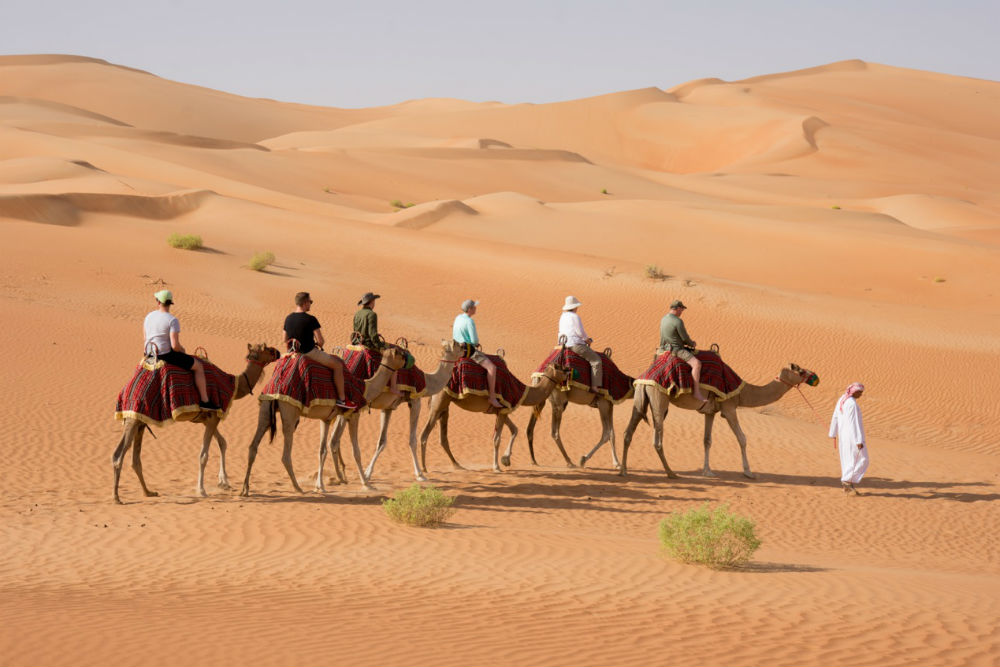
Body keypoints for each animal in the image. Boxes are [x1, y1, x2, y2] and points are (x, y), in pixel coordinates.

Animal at [112, 342, 282, 504]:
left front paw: (224, 482)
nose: (278, 352)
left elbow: (222, 442)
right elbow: (204, 455)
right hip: (135, 417)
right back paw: (117, 497)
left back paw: (148, 492)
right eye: (267, 348)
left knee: (134, 459)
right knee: (118, 455)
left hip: (139, 420)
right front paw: (201, 490)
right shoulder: (213, 417)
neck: (234, 385)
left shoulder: (208, 419)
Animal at [239, 344, 406, 496]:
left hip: (266, 408)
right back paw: (298, 488)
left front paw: (320, 486)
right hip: (289, 411)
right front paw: (367, 484)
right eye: (400, 354)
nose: (407, 360)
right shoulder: (353, 414)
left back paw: (245, 489)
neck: (364, 388)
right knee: (285, 454)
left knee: (253, 446)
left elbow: (322, 450)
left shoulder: (325, 419)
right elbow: (356, 452)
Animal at [316, 342, 464, 488]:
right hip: (348, 406)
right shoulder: (415, 401)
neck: (428, 381)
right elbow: (412, 440)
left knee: (334, 440)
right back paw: (337, 477)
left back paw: (340, 477)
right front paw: (420, 474)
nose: (465, 347)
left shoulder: (388, 408)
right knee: (334, 440)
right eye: (457, 345)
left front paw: (367, 473)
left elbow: (382, 441)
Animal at [416, 360, 572, 474]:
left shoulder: (501, 410)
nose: (569, 369)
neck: (521, 391)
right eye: (559, 367)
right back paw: (424, 468)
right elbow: (497, 439)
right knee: (424, 435)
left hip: (445, 406)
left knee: (443, 438)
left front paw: (506, 459)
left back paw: (457, 465)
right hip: (438, 404)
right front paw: (497, 467)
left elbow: (515, 429)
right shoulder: (503, 409)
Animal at [616, 360, 820, 480]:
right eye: (801, 371)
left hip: (641, 397)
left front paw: (707, 471)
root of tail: (645, 378)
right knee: (657, 440)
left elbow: (707, 440)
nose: (815, 376)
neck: (743, 392)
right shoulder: (729, 408)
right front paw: (748, 472)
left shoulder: (710, 412)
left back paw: (623, 470)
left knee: (628, 432)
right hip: (659, 399)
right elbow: (742, 438)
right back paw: (671, 472)